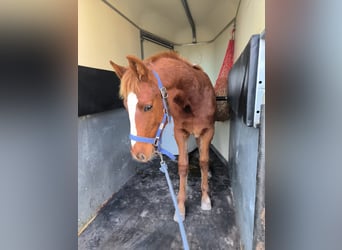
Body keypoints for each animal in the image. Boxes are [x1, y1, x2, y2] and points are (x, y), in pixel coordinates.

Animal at [111, 51, 215, 221]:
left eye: (148, 106)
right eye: (126, 106)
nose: (138, 154)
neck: (194, 97)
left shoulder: (208, 131)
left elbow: (204, 162)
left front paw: (205, 198)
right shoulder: (180, 132)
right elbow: (183, 166)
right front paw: (180, 207)